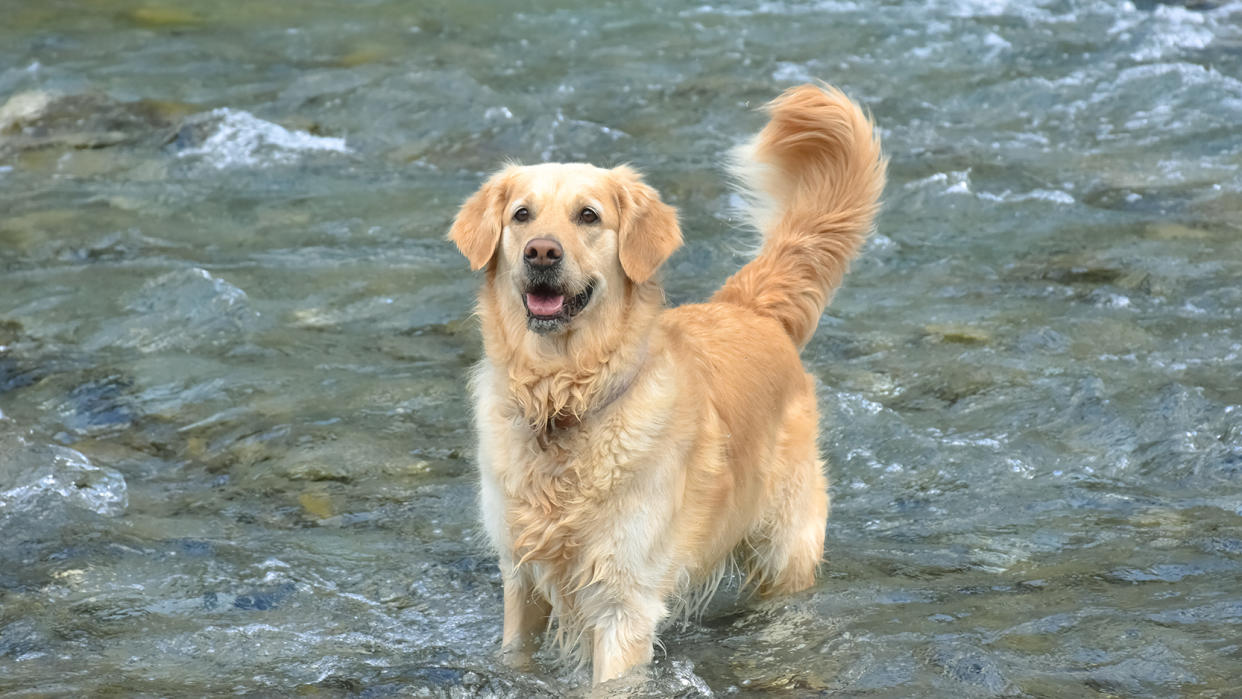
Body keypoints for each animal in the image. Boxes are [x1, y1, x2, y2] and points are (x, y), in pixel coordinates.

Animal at [447, 85, 884, 685]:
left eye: (589, 215)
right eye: (521, 215)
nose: (541, 251)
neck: (565, 401)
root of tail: (749, 308)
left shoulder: (623, 601)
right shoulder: (520, 576)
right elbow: (515, 654)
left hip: (784, 549)